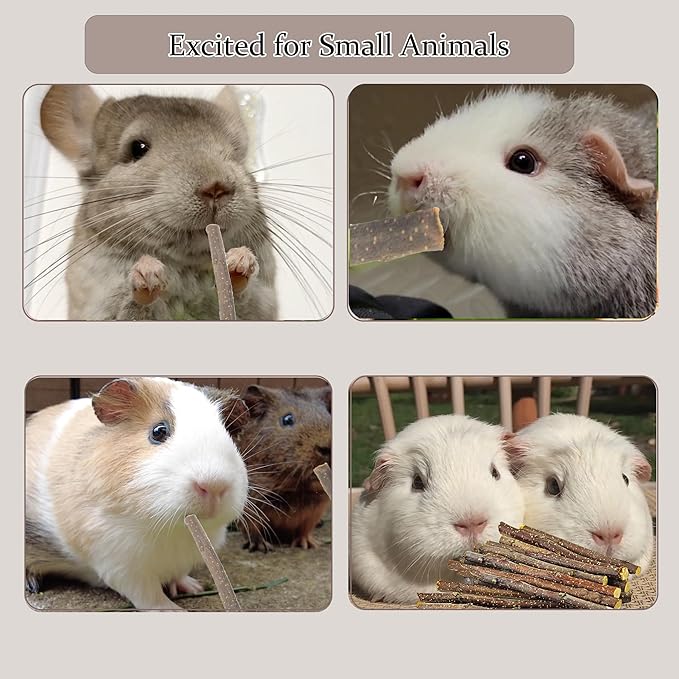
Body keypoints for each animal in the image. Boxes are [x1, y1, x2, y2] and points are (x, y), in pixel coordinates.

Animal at [25, 377, 250, 610]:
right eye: (158, 431)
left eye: (228, 433)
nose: (214, 486)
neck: (173, 531)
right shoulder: (119, 562)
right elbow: (148, 595)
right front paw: (175, 610)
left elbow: (178, 575)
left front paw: (193, 587)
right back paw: (32, 585)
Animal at [38, 85, 278, 320]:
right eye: (137, 148)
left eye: (236, 151)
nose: (216, 188)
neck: (185, 266)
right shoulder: (97, 303)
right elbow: (130, 306)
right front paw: (148, 272)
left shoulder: (264, 304)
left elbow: (246, 297)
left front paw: (240, 261)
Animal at [233, 384, 332, 551]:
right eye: (287, 419)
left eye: (328, 415)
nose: (326, 448)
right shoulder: (250, 503)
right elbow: (252, 527)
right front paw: (261, 547)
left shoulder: (315, 509)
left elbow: (305, 529)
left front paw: (307, 545)